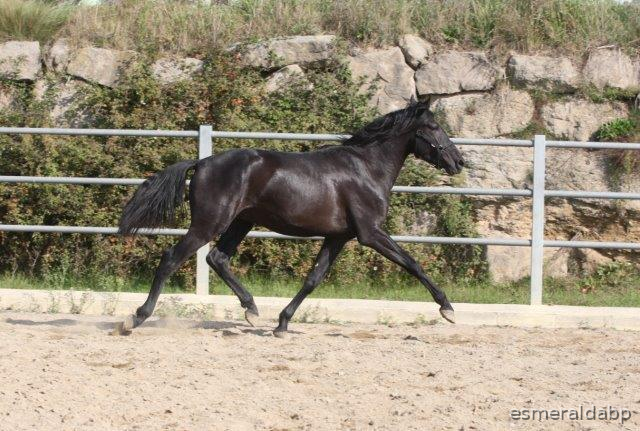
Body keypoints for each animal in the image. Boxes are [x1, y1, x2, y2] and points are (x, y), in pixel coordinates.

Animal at [115, 101, 465, 337]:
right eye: (434, 128)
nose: (458, 161)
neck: (366, 169)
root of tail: (201, 163)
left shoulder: (338, 236)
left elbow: (313, 278)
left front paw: (282, 323)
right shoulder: (371, 233)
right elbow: (412, 263)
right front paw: (447, 309)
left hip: (241, 222)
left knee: (218, 258)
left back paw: (252, 311)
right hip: (209, 223)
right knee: (172, 258)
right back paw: (135, 318)